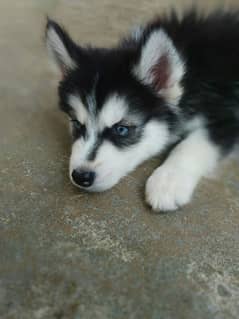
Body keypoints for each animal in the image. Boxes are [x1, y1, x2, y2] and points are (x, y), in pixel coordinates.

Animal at [45, 10, 239, 212]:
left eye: (122, 129)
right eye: (76, 124)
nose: (81, 176)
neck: (193, 74)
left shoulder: (228, 117)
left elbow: (193, 144)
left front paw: (168, 181)